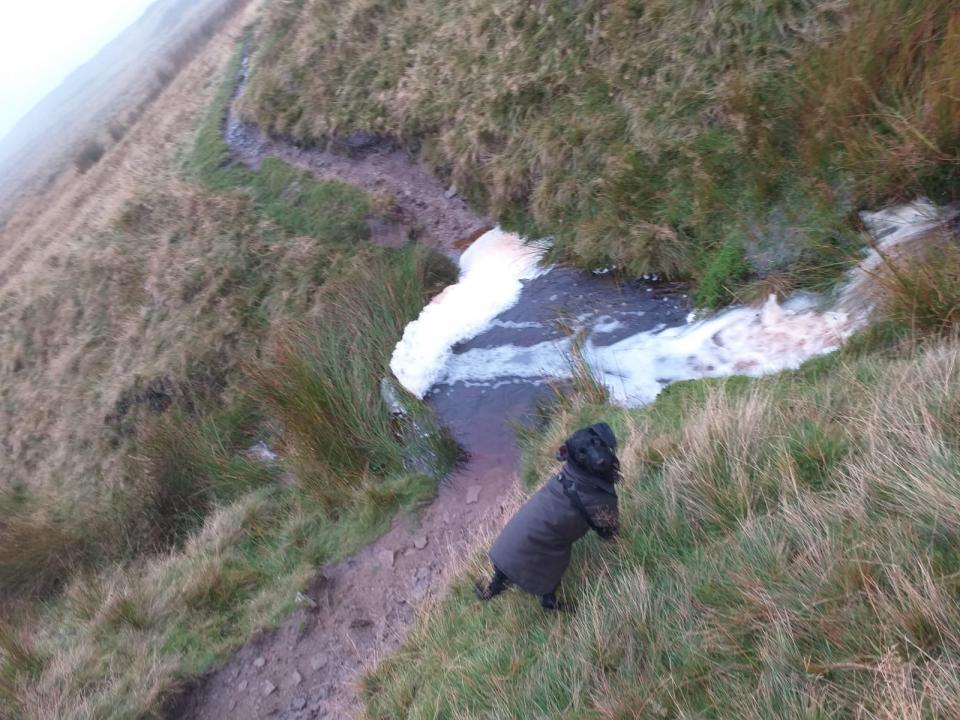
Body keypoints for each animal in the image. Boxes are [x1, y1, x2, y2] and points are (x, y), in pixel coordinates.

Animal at [474, 424, 624, 612]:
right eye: (580, 454)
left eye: (596, 441)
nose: (601, 462)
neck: (580, 479)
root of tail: (499, 568)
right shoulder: (604, 517)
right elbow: (614, 535)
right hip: (549, 571)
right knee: (547, 602)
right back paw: (572, 607)